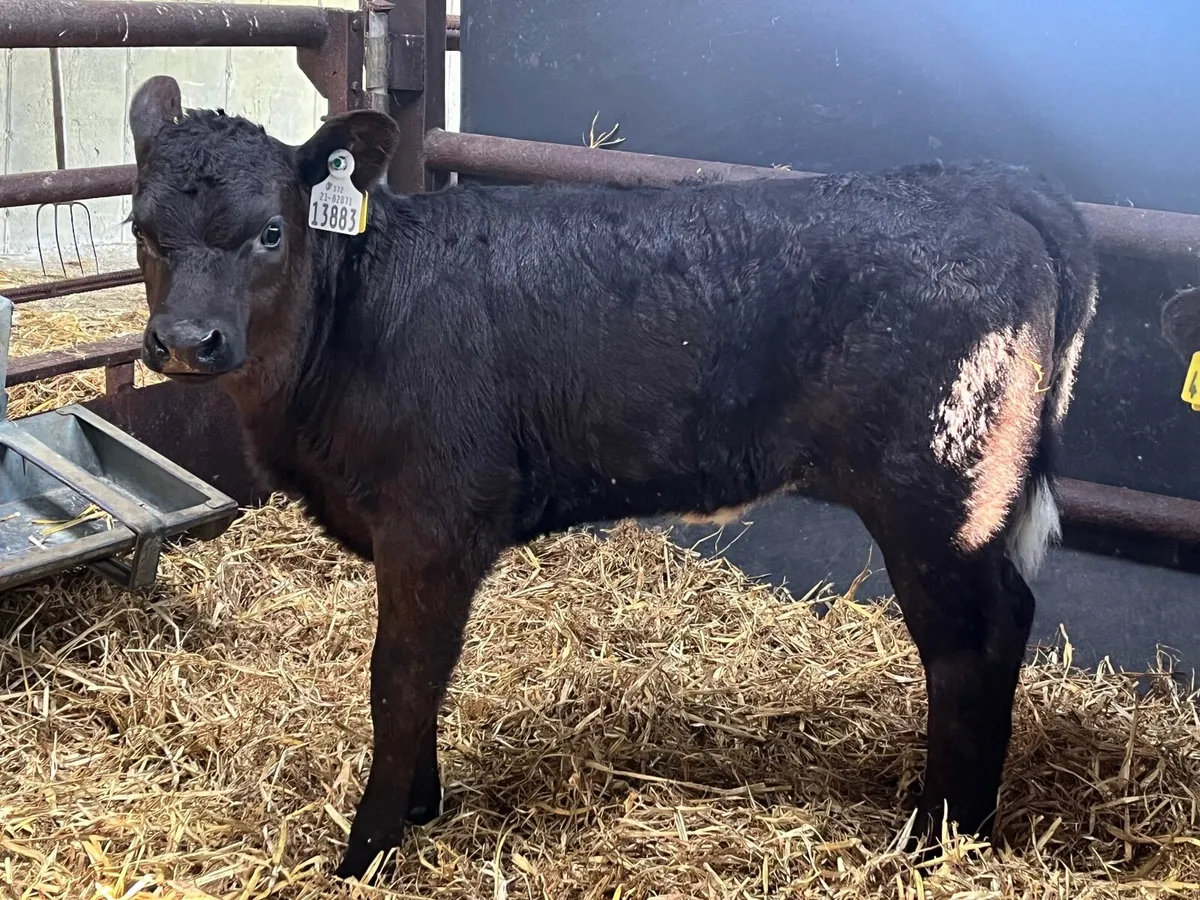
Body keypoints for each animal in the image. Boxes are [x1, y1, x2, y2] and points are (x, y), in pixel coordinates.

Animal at [125, 75, 1098, 879]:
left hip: (939, 495)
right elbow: (424, 678)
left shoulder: (433, 523)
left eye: (271, 232)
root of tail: (983, 185)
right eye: (140, 228)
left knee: (970, 644)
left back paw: (938, 838)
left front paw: (368, 851)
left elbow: (399, 682)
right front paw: (423, 808)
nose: (185, 342)